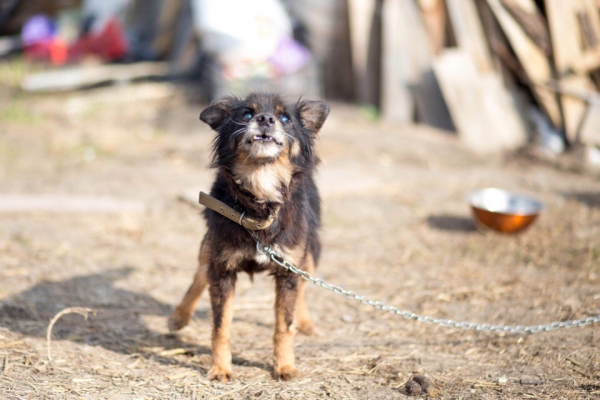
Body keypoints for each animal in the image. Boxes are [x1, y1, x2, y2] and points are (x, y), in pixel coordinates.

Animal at [168, 93, 328, 382]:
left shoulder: (288, 269)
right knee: (199, 276)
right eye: (246, 115)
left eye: (285, 117)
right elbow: (221, 327)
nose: (265, 119)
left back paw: (306, 323)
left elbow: (283, 325)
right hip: (210, 248)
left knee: (302, 288)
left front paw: (285, 366)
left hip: (310, 253)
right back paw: (179, 317)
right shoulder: (223, 269)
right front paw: (220, 369)